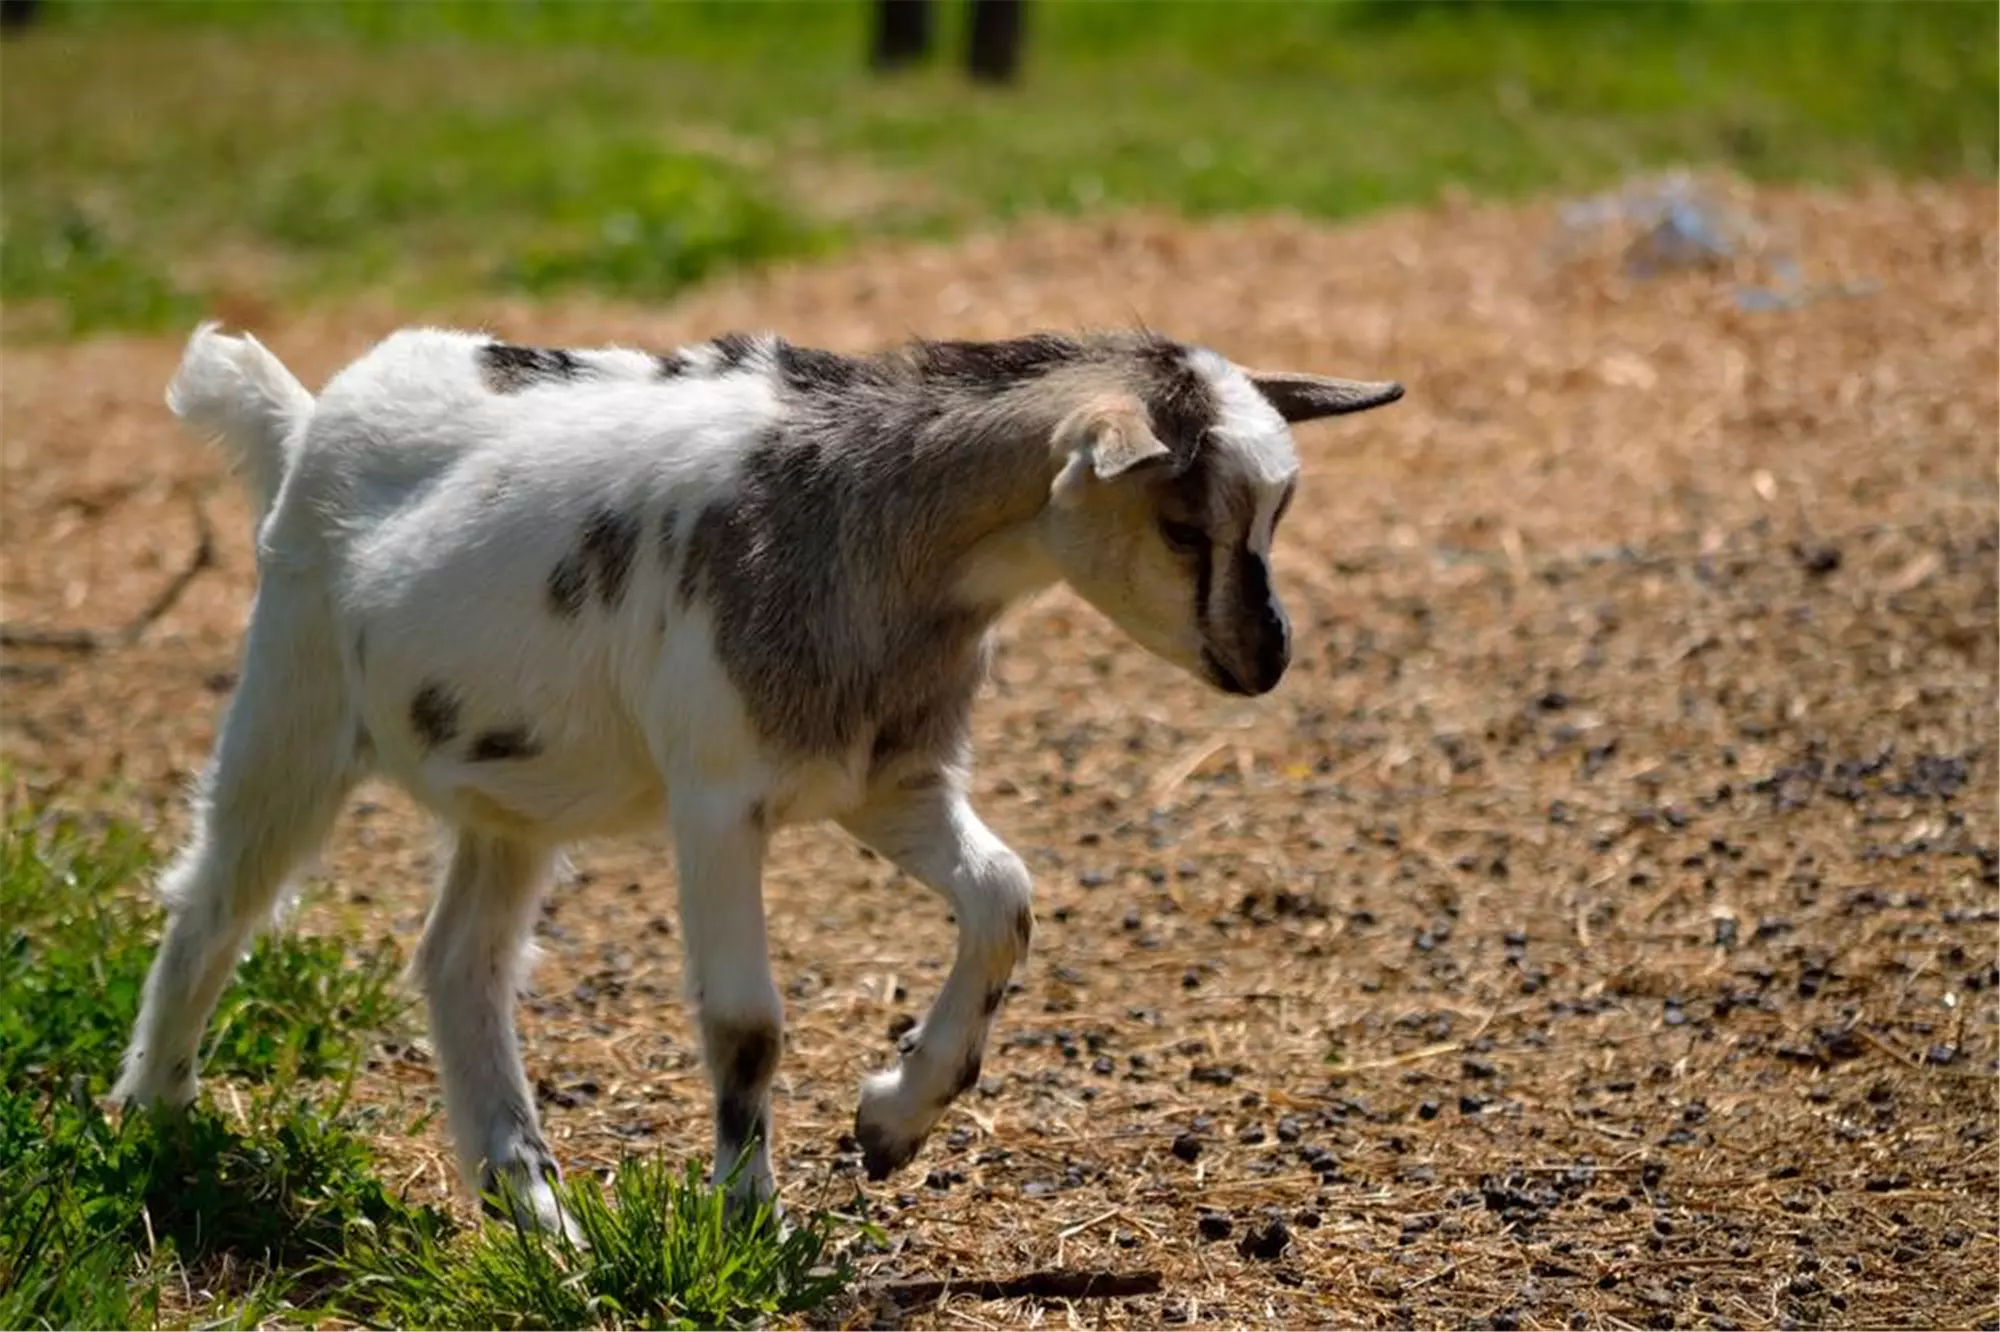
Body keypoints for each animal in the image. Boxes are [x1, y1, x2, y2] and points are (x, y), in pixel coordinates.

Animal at [117, 316, 1400, 1232]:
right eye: (1182, 527)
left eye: (1275, 513)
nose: (1265, 657)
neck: (860, 528)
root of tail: (302, 418)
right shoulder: (718, 796)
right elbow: (747, 1024)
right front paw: (749, 1220)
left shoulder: (885, 776)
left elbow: (1005, 896)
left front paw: (893, 1122)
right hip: (292, 701)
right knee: (216, 899)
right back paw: (152, 1120)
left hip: (509, 789)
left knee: (456, 963)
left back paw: (531, 1206)